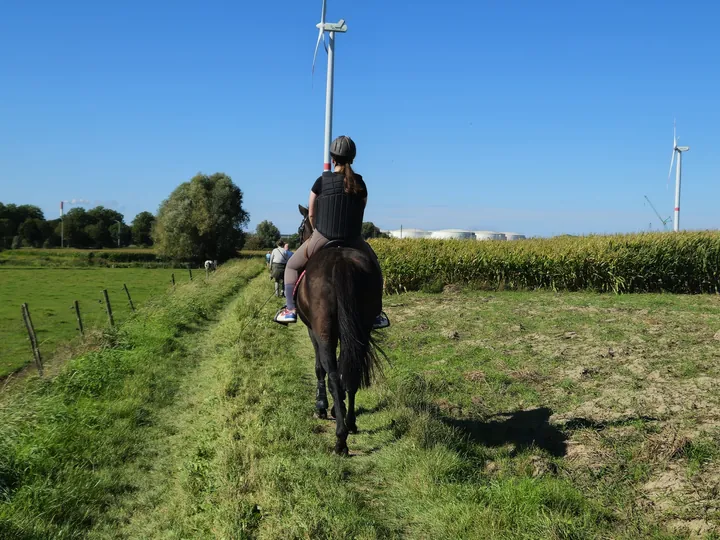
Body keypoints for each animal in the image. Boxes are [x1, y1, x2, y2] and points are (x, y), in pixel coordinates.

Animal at [294, 205, 382, 454]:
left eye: (301, 228)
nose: (298, 239)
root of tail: (341, 262)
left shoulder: (313, 332)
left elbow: (319, 368)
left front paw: (323, 406)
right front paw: (337, 406)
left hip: (324, 331)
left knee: (332, 373)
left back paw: (340, 439)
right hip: (362, 328)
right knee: (353, 370)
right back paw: (350, 423)